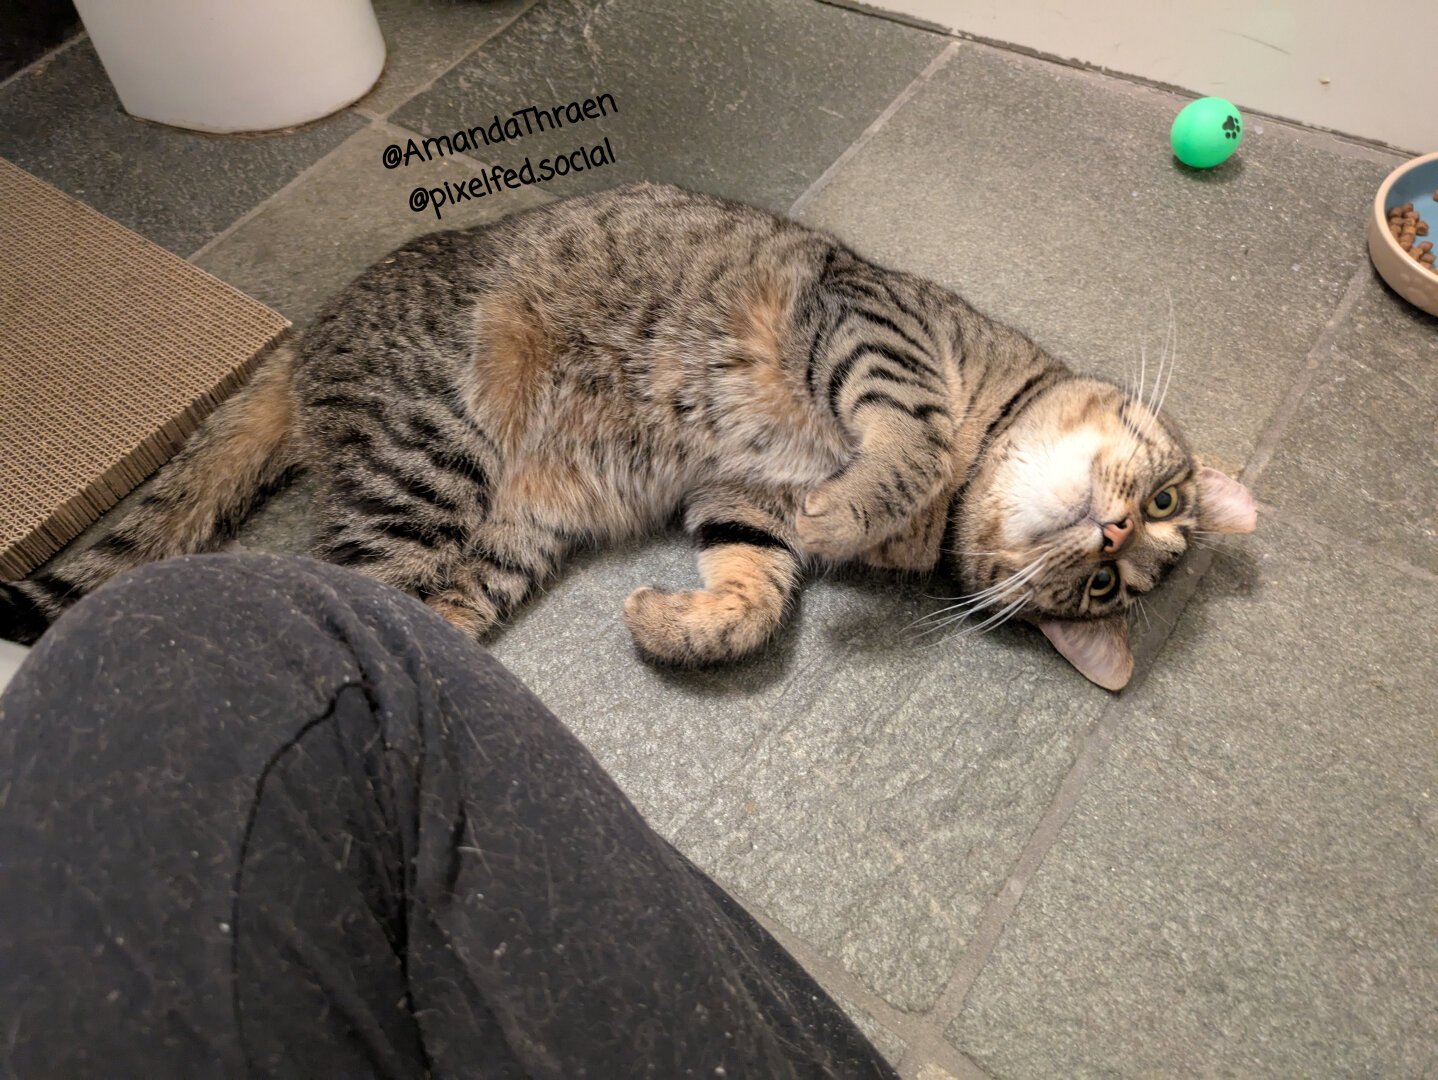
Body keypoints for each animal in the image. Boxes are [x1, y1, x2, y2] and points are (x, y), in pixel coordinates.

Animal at [0, 184, 1253, 693]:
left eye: (1107, 587)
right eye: (1162, 508)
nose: (1112, 538)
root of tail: (303, 336)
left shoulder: (737, 503)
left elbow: (758, 594)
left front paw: (683, 622)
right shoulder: (871, 324)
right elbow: (907, 437)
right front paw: (858, 499)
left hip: (499, 533)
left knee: (415, 614)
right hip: (431, 454)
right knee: (348, 597)